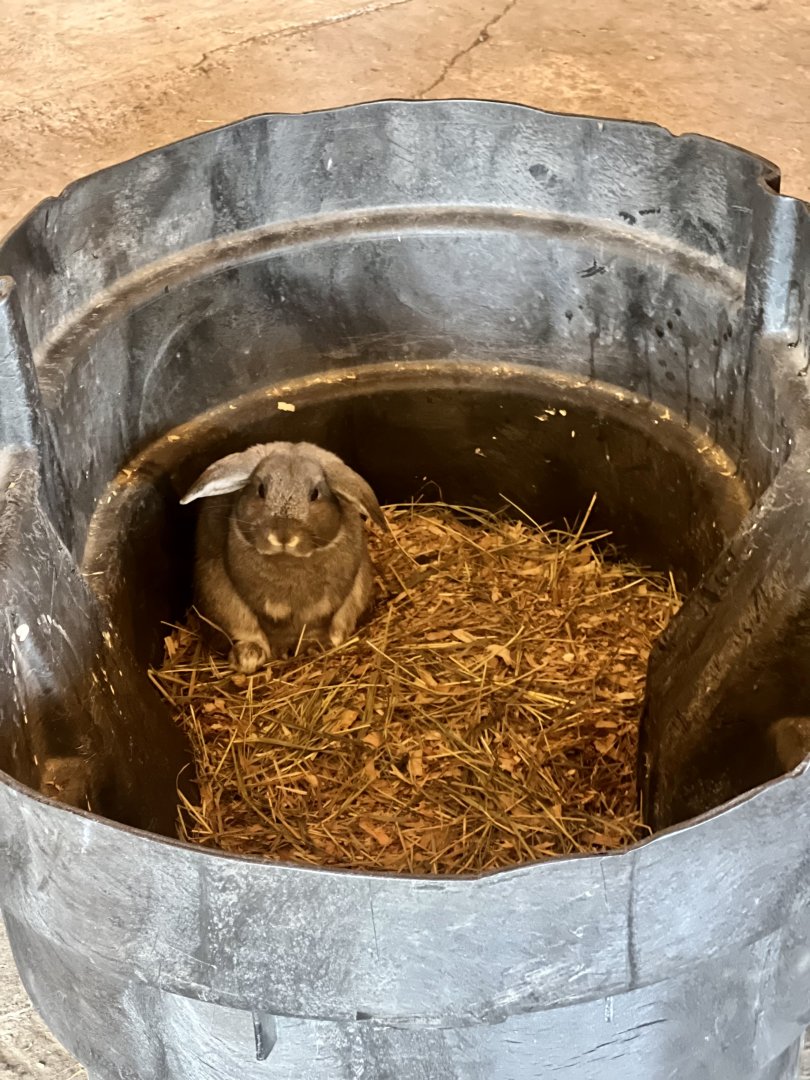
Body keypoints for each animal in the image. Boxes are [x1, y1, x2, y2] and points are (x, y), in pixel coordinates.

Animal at [180, 441, 387, 674]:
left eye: (315, 494)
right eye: (261, 490)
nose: (283, 535)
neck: (288, 561)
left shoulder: (325, 607)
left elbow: (317, 626)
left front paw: (315, 646)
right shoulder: (265, 609)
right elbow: (273, 629)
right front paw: (280, 651)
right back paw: (249, 654)